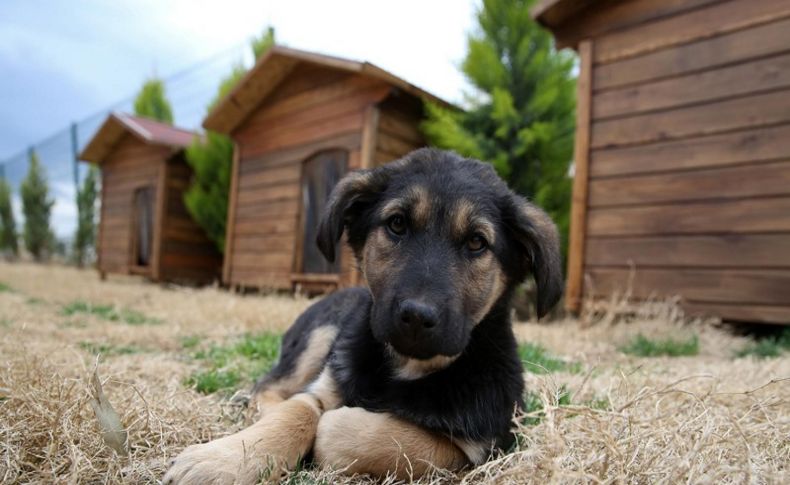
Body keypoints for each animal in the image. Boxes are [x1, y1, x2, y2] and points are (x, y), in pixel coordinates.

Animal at [166, 148, 564, 484]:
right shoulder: (326, 382)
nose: (417, 316)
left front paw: (339, 426)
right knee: (268, 387)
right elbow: (300, 409)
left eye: (477, 242)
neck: (406, 366)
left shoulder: (485, 446)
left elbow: (398, 440)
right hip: (321, 336)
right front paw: (225, 458)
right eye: (397, 224)